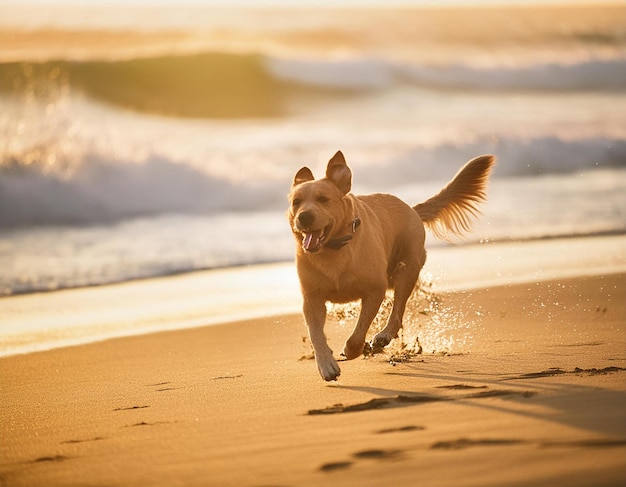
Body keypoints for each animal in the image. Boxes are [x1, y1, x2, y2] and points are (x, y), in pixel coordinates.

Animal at [288, 152, 492, 382]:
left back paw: (382, 337)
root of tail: (412, 210)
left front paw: (353, 350)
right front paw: (326, 365)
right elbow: (316, 334)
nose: (304, 217)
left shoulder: (374, 289)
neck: (334, 249)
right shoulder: (312, 298)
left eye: (323, 199)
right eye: (296, 202)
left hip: (407, 268)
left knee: (397, 312)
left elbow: (358, 333)